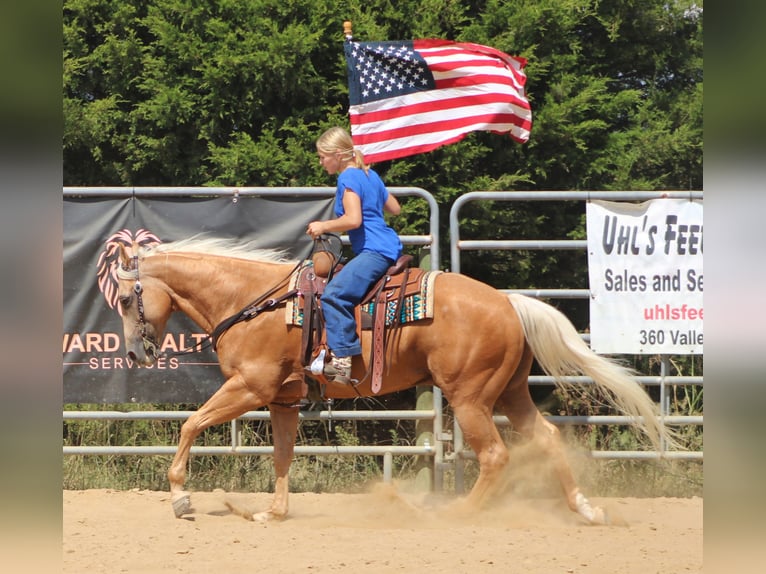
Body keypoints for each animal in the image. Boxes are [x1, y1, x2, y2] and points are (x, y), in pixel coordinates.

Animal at [114, 236, 676, 524]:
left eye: (123, 298)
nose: (136, 352)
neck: (254, 301)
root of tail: (508, 302)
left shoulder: (249, 388)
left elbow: (190, 425)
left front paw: (181, 497)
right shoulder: (281, 401)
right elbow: (282, 455)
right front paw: (273, 512)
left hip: (470, 397)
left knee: (496, 455)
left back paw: (457, 513)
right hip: (510, 393)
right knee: (547, 438)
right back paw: (584, 508)